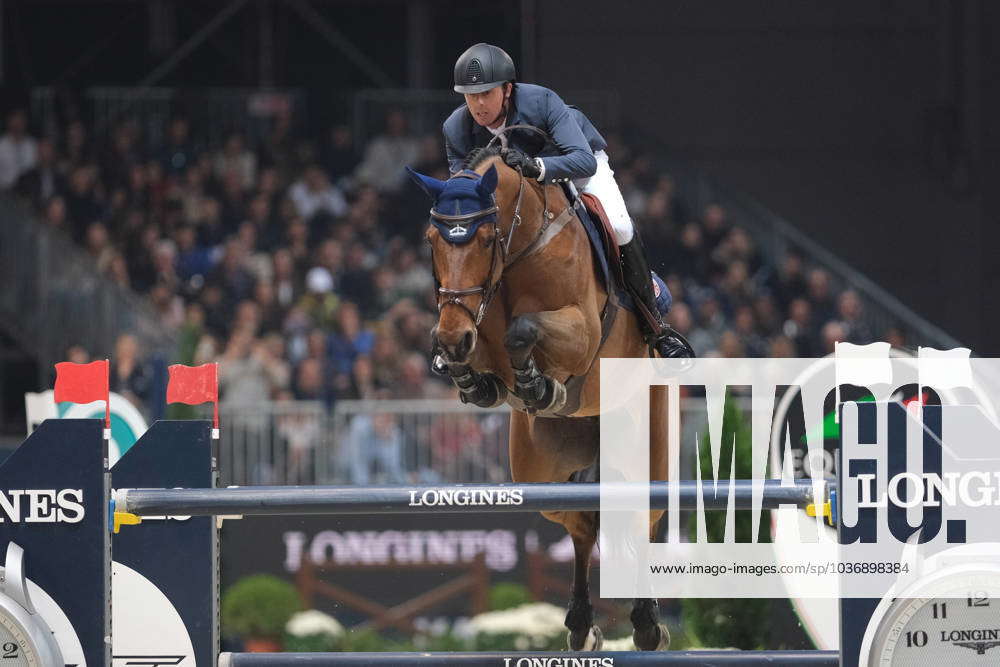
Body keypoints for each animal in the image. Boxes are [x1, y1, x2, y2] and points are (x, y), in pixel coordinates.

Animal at [406, 136, 672, 652]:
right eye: (431, 241)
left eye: (485, 239)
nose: (452, 337)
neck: (520, 249)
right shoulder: (470, 326)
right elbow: (483, 354)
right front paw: (478, 380)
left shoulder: (583, 331)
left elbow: (523, 329)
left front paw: (539, 383)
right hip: (543, 471)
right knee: (581, 524)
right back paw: (581, 625)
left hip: (646, 448)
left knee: (642, 519)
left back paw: (647, 622)